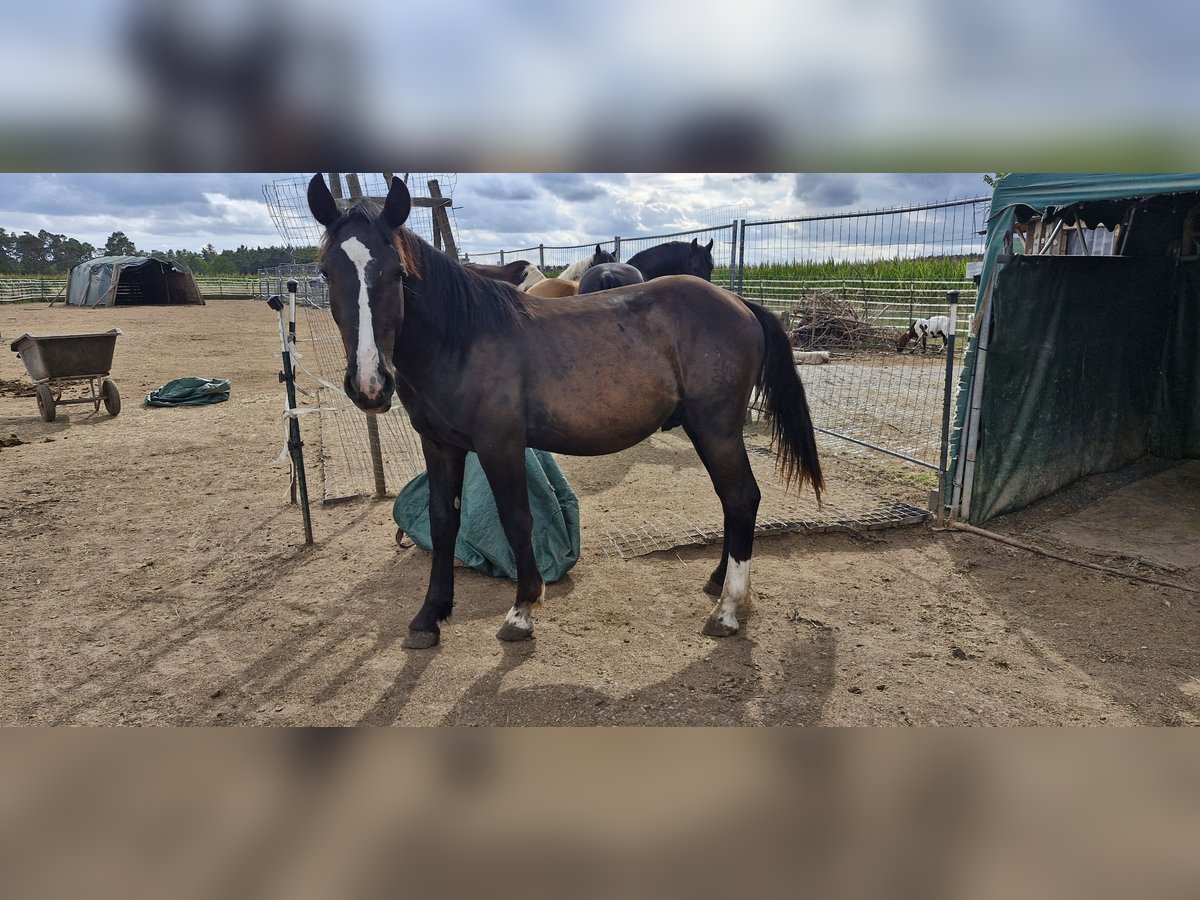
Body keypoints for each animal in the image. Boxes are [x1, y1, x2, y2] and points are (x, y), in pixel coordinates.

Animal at [307, 174, 823, 649]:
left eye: (397, 272)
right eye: (327, 273)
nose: (370, 384)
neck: (464, 340)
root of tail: (739, 303)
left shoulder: (499, 445)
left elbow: (517, 520)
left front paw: (521, 611)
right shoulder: (440, 445)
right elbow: (442, 522)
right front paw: (429, 616)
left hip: (717, 428)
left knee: (741, 497)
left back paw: (729, 610)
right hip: (707, 429)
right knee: (731, 499)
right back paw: (720, 584)